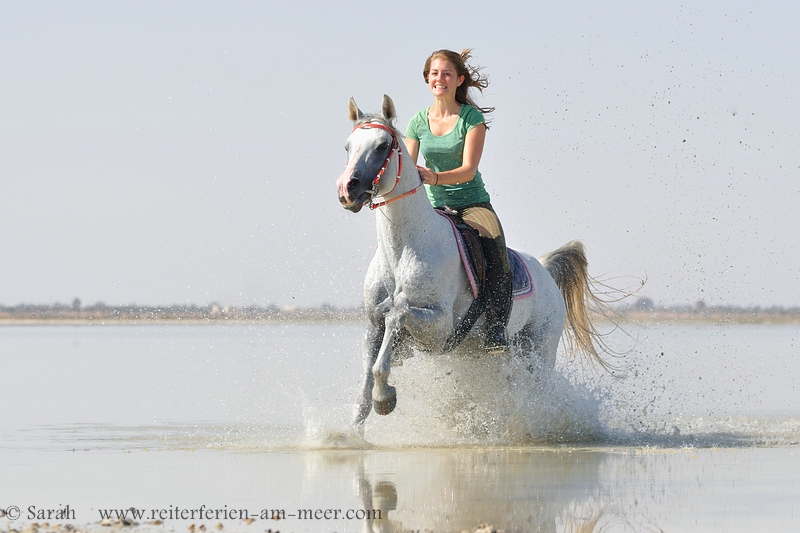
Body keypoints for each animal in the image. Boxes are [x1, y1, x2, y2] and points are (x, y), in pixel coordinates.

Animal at [338, 95, 608, 428]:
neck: (403, 250)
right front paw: (352, 431)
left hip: (537, 352)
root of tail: (545, 270)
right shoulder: (373, 326)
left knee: (539, 394)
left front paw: (384, 398)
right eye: (348, 146)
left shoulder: (439, 329)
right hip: (492, 357)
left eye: (382, 145)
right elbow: (365, 385)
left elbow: (397, 315)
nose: (347, 190)